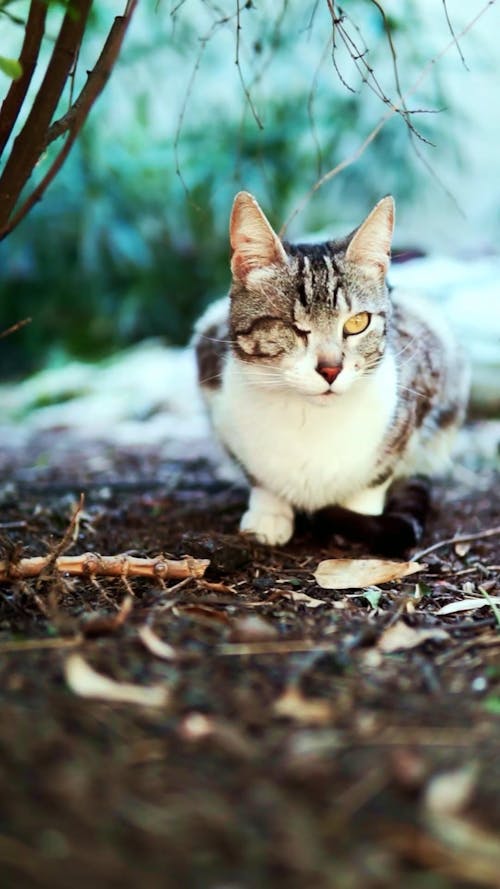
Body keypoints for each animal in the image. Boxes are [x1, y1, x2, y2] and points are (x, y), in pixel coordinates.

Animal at [192, 193, 468, 552]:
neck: (313, 420)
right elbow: (257, 474)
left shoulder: (425, 380)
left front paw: (357, 516)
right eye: (292, 327)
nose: (331, 368)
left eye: (357, 322)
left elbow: (377, 477)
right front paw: (268, 512)